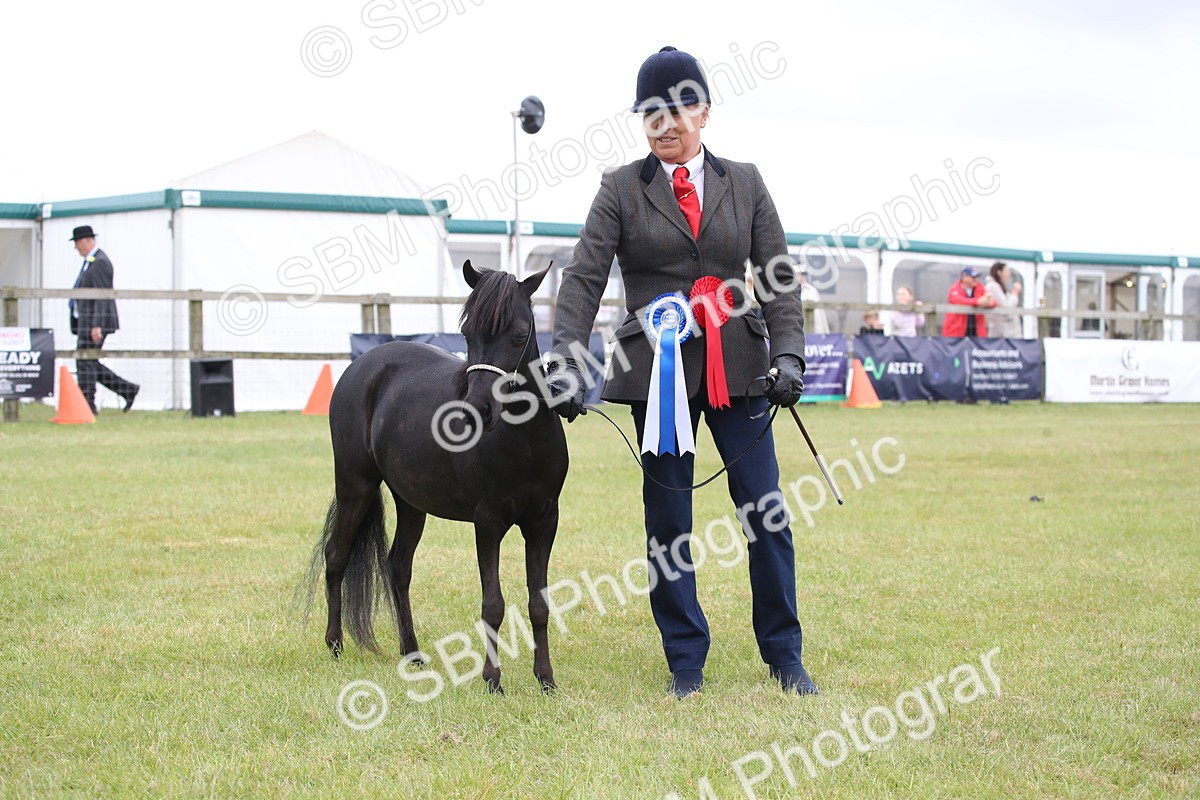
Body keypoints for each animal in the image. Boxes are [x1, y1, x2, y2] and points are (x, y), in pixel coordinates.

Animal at [311, 260, 568, 693]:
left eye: (519, 335)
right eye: (467, 333)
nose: (478, 409)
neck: (525, 441)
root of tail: (363, 365)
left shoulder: (544, 522)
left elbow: (539, 603)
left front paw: (546, 679)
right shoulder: (488, 522)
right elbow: (493, 603)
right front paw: (492, 680)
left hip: (411, 502)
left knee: (398, 567)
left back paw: (411, 653)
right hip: (354, 486)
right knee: (336, 556)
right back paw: (334, 644)